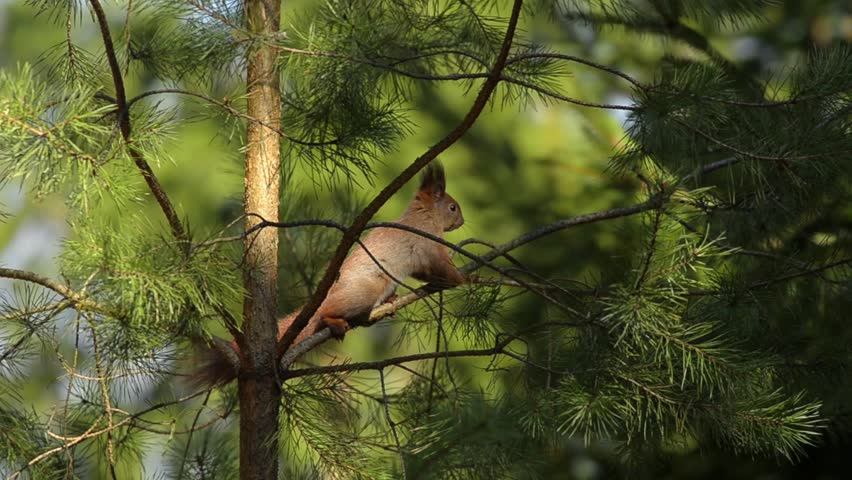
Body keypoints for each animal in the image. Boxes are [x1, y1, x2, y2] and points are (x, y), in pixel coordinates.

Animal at [196, 163, 466, 384]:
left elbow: (426, 274)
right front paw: (464, 278)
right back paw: (333, 321)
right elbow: (442, 268)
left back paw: (389, 302)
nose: (462, 222)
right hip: (364, 292)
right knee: (326, 312)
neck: (424, 217)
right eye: (453, 207)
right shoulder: (429, 246)